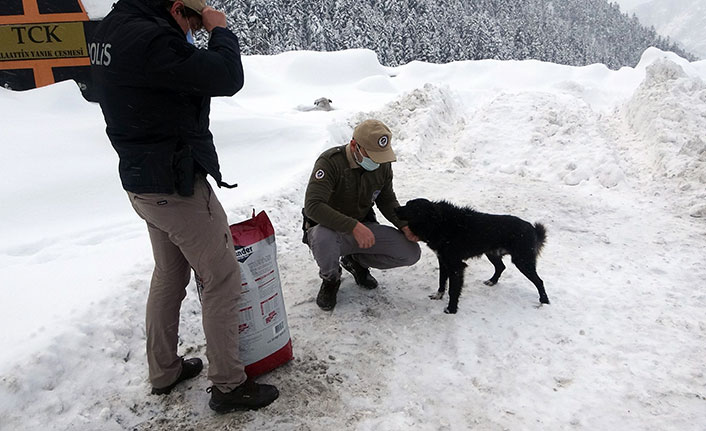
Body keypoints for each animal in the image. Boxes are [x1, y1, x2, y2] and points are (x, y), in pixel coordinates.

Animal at [394, 199, 548, 314]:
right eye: (407, 204)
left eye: (412, 207)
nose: (395, 209)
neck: (439, 223)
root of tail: (533, 229)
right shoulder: (443, 261)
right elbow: (442, 281)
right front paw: (438, 296)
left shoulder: (456, 266)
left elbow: (453, 290)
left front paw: (451, 309)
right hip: (492, 253)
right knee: (501, 267)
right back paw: (492, 281)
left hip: (522, 261)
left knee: (539, 281)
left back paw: (544, 301)